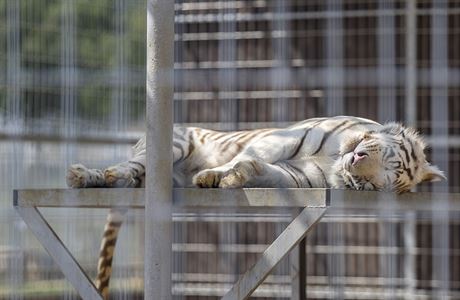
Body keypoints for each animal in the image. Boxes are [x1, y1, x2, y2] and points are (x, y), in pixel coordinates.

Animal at [65, 115, 446, 298]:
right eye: (389, 160)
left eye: (373, 185)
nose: (355, 163)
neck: (334, 161)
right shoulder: (286, 139)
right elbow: (249, 153)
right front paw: (213, 174)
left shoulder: (299, 177)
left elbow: (262, 169)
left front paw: (235, 177)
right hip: (169, 144)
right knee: (129, 168)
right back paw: (88, 174)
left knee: (133, 180)